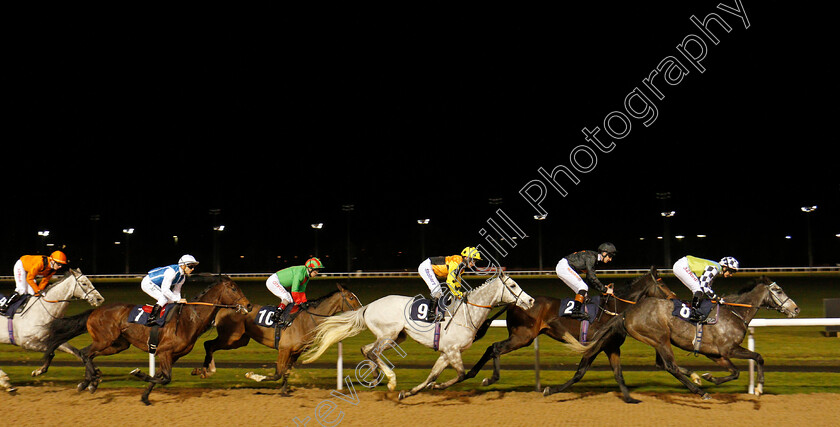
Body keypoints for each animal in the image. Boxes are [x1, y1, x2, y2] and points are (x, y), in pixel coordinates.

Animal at [43, 276, 249, 406]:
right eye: (233, 288)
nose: (247, 304)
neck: (189, 319)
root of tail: (95, 310)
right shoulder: (164, 352)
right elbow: (165, 378)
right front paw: (138, 373)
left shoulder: (172, 356)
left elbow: (160, 377)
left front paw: (145, 397)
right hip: (105, 340)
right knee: (85, 353)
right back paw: (91, 381)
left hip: (118, 344)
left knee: (88, 354)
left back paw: (89, 382)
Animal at [190, 284, 360, 394]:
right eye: (351, 297)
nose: (362, 309)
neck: (306, 320)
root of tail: (225, 308)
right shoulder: (284, 349)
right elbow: (278, 373)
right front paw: (253, 376)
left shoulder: (295, 352)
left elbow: (286, 372)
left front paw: (284, 391)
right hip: (230, 337)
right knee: (209, 344)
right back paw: (205, 371)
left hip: (240, 340)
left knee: (210, 345)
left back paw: (205, 371)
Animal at [302, 276, 536, 400]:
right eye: (513, 286)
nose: (531, 301)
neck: (466, 312)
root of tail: (368, 306)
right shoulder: (452, 351)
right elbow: (461, 374)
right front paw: (437, 387)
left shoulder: (447, 353)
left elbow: (433, 375)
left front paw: (410, 392)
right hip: (388, 335)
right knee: (373, 351)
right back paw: (390, 380)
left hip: (396, 338)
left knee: (367, 350)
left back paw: (376, 378)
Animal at [466, 268, 676, 404]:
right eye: (663, 283)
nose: (674, 298)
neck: (614, 309)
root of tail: (513, 303)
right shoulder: (594, 346)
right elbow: (579, 373)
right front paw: (550, 390)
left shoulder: (611, 346)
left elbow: (619, 374)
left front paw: (630, 399)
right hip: (523, 337)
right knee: (495, 347)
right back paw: (489, 378)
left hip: (521, 337)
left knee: (491, 348)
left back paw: (471, 374)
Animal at [560, 278, 796, 402]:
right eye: (778, 290)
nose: (795, 309)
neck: (734, 313)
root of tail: (627, 312)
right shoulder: (729, 349)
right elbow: (758, 357)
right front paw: (759, 388)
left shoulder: (716, 354)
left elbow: (735, 372)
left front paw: (709, 377)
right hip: (660, 337)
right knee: (670, 366)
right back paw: (699, 390)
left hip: (657, 340)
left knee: (663, 364)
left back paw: (696, 381)